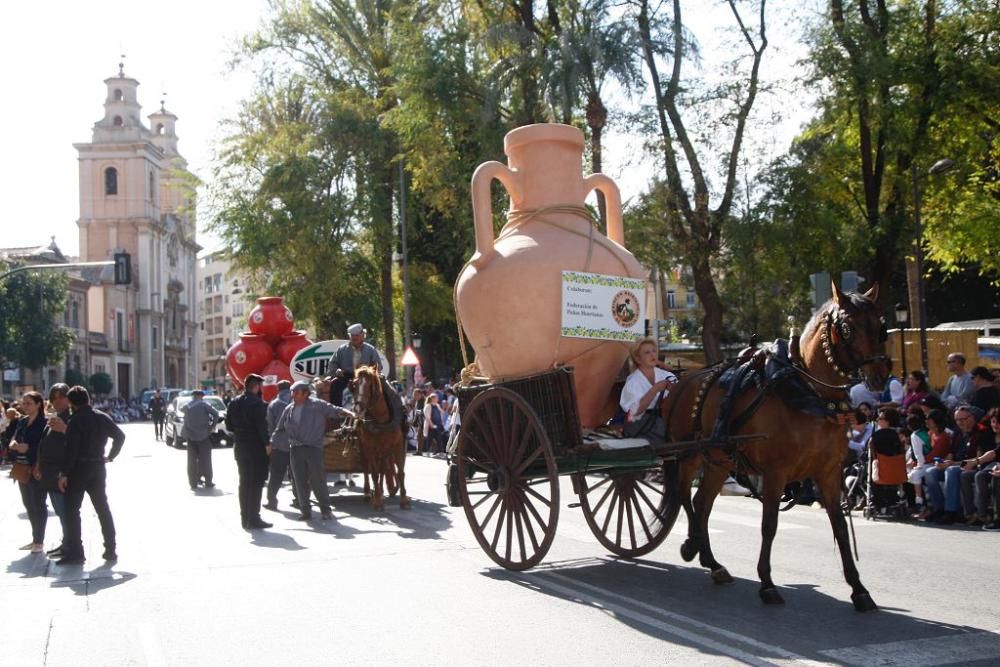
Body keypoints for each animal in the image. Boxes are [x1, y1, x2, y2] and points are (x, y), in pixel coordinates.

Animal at [352, 366, 410, 512]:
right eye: (354, 385)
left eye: (370, 385)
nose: (358, 408)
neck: (382, 419)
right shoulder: (370, 447)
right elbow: (374, 473)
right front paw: (377, 500)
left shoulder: (397, 444)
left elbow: (400, 472)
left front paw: (404, 500)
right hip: (364, 446)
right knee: (367, 467)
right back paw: (368, 493)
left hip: (385, 449)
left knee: (384, 468)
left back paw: (383, 492)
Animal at [668, 282, 888, 612]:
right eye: (848, 327)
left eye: (881, 326)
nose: (880, 375)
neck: (808, 395)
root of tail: (683, 378)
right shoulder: (775, 473)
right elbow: (769, 525)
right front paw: (767, 583)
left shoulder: (828, 473)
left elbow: (839, 527)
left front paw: (859, 589)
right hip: (689, 453)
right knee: (685, 495)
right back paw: (693, 545)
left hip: (719, 460)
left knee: (701, 503)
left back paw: (712, 562)